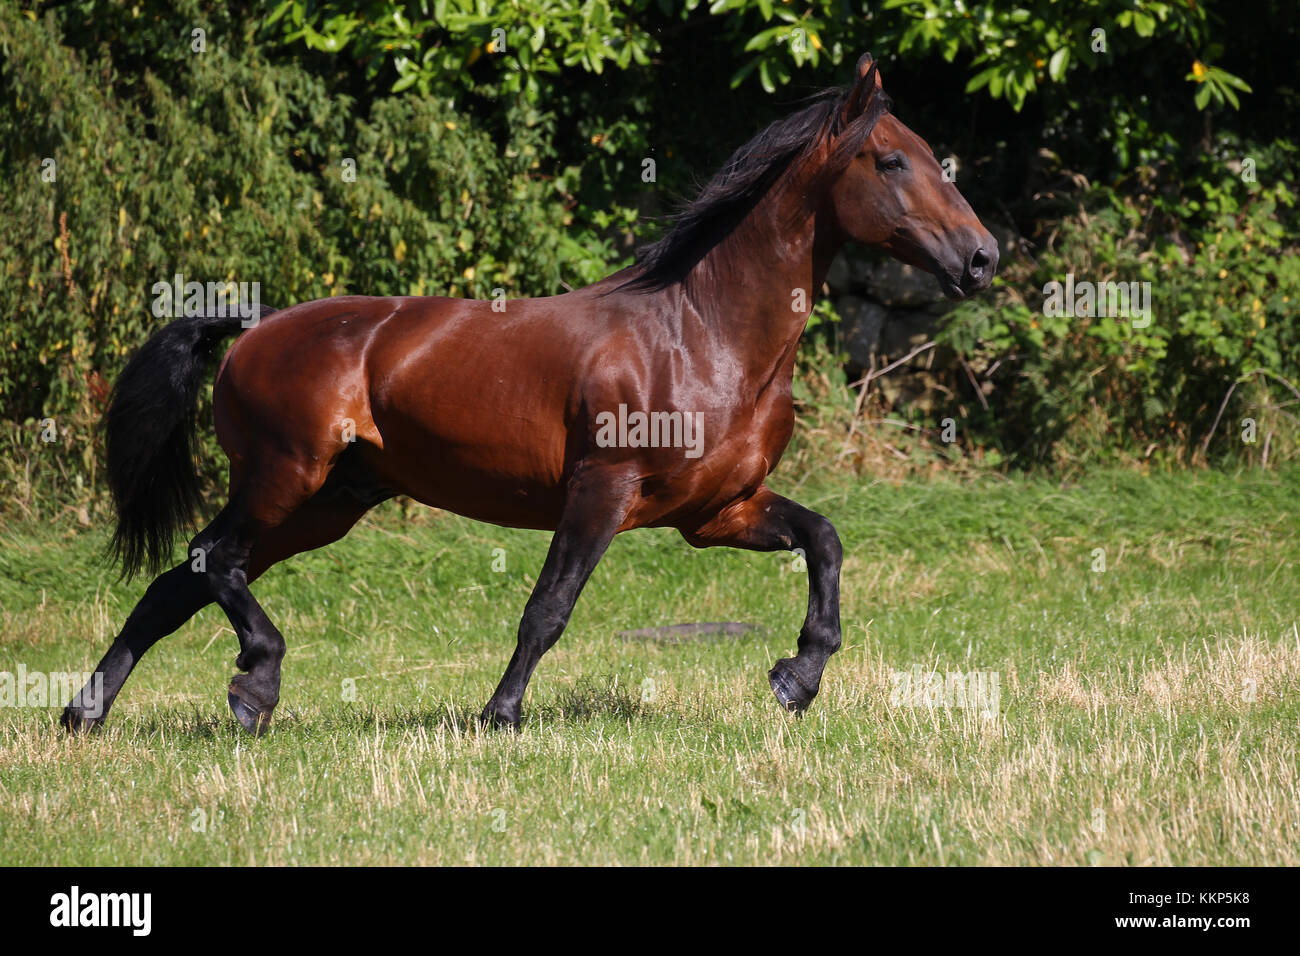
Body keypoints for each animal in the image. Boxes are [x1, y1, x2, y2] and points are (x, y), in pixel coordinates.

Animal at [62, 54, 997, 736]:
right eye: (891, 160)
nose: (982, 257)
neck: (703, 333)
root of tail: (254, 325)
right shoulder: (601, 491)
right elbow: (547, 608)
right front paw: (501, 714)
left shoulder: (718, 512)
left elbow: (824, 541)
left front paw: (797, 679)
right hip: (282, 477)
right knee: (210, 560)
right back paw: (254, 686)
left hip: (329, 502)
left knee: (178, 582)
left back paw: (87, 713)